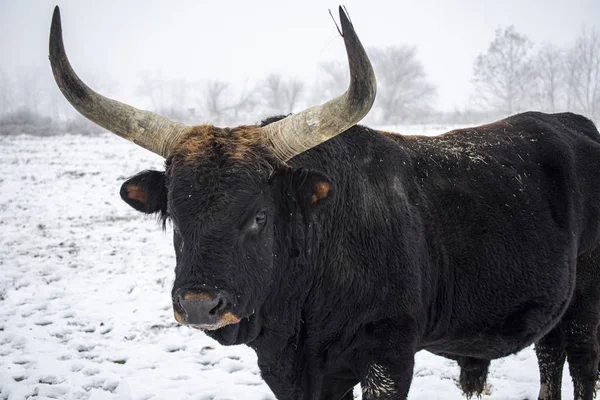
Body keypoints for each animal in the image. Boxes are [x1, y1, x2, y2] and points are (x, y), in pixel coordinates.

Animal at [120, 111, 600, 398]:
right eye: (175, 217)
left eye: (259, 216)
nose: (199, 305)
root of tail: (571, 121)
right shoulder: (292, 372)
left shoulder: (387, 354)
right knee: (550, 356)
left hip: (586, 302)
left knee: (580, 364)